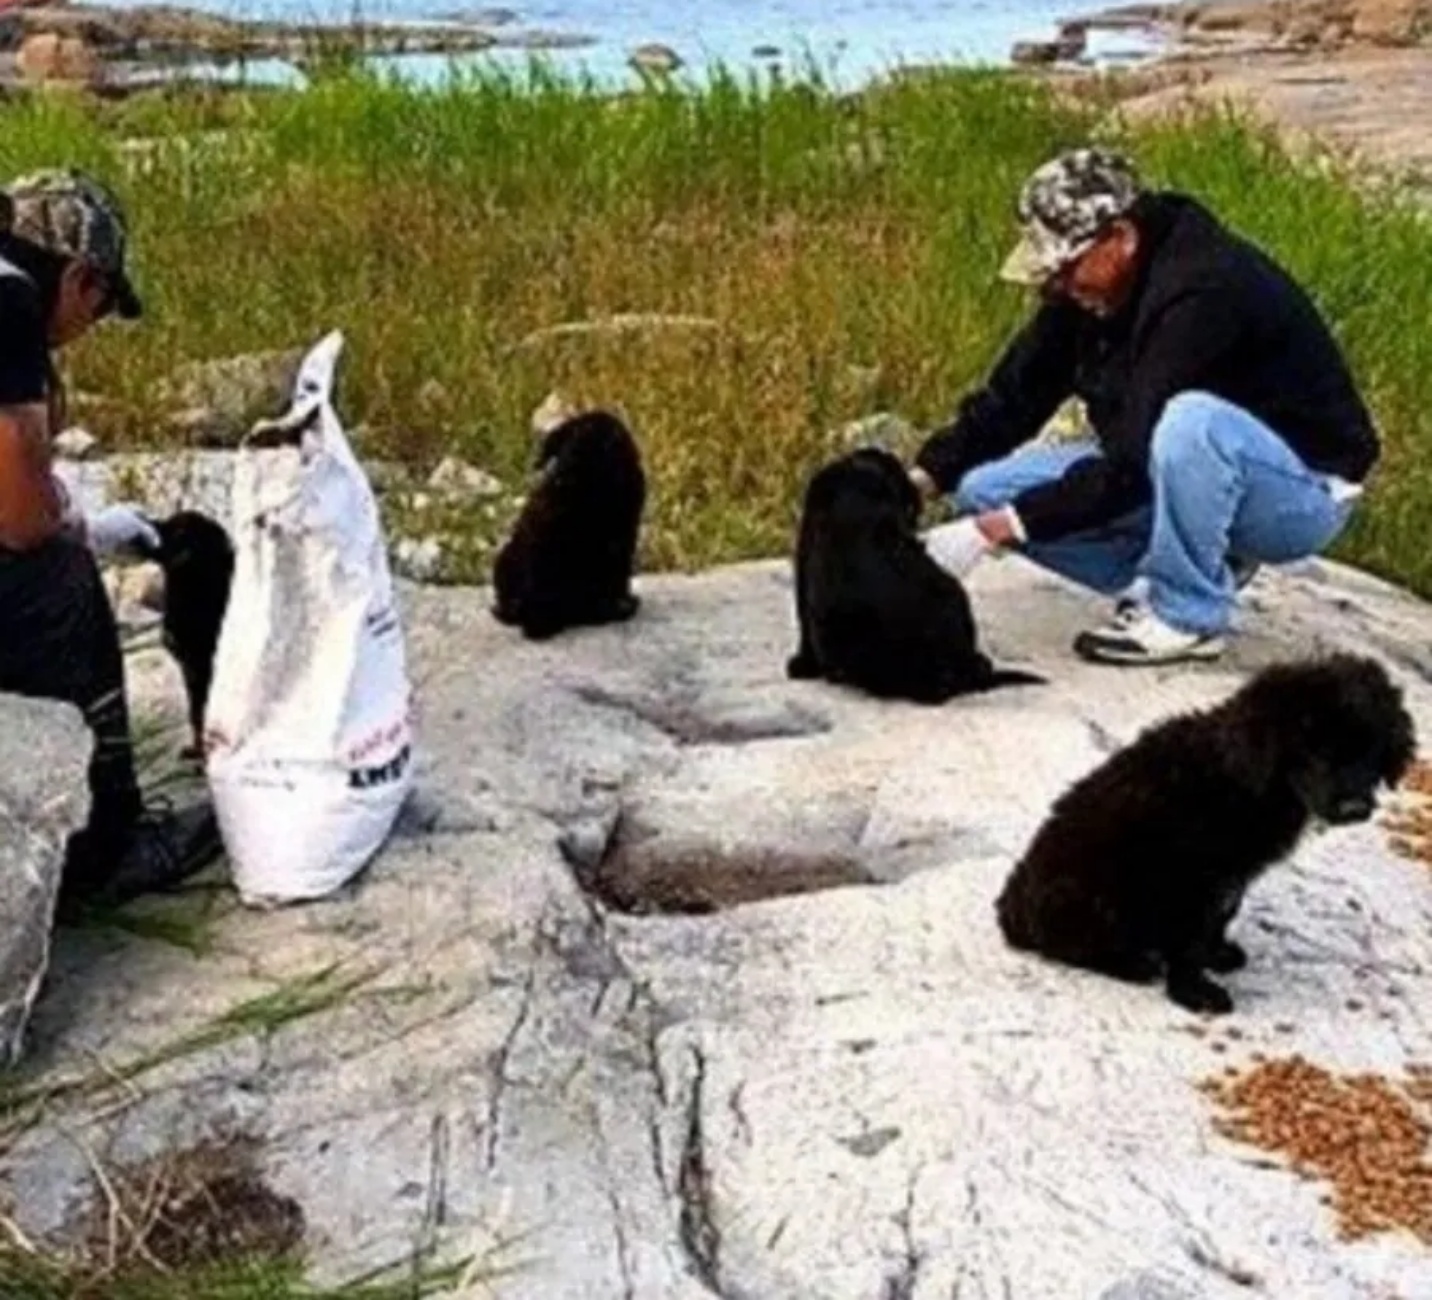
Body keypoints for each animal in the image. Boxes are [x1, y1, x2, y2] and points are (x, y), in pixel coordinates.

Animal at [1002, 661, 1414, 1013]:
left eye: (1372, 747)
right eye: (1312, 745)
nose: (1355, 808)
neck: (1247, 779)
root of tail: (1009, 910)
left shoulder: (1230, 878)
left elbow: (1221, 917)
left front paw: (1216, 955)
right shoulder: (1191, 876)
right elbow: (1190, 939)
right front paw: (1193, 991)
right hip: (1100, 894)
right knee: (1071, 944)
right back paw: (1132, 963)